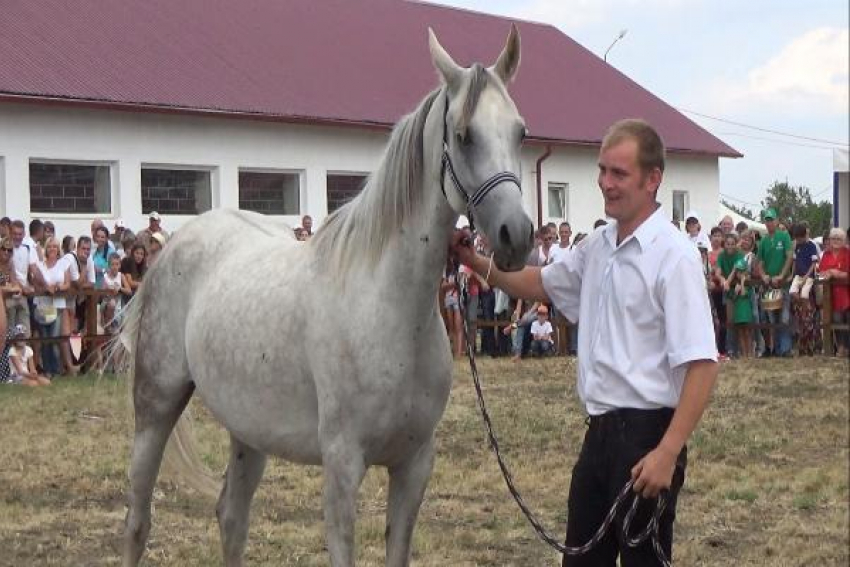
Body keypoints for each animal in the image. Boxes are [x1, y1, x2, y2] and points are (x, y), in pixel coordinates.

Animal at [121, 26, 528, 567]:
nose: (516, 235)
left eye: (520, 132)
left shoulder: (414, 464)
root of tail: (173, 245)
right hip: (156, 406)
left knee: (231, 516)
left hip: (248, 429)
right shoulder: (342, 466)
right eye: (464, 134)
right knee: (138, 521)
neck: (388, 309)